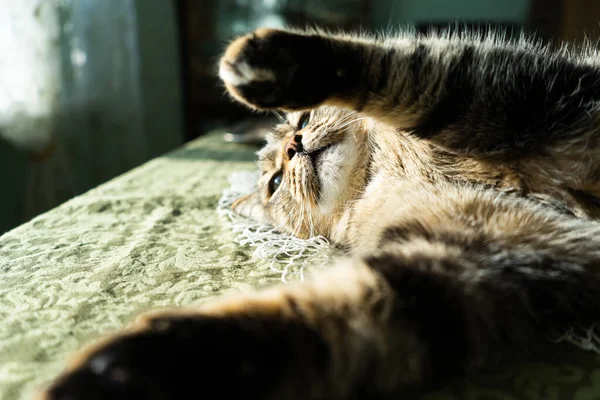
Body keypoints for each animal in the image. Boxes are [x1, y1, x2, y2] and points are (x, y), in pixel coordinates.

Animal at [38, 28, 600, 400]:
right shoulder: (459, 263)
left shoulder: (516, 95)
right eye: (274, 183)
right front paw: (129, 368)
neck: (386, 175)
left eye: (303, 119)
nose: (294, 147)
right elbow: (311, 318)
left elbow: (404, 74)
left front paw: (271, 61)